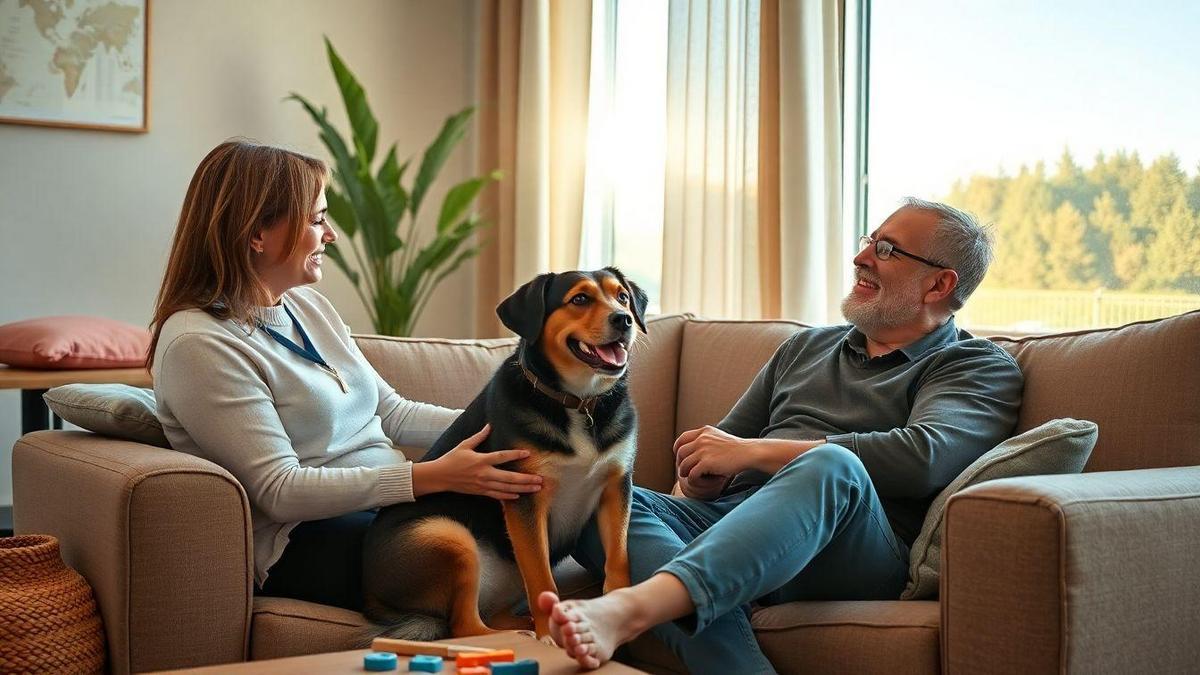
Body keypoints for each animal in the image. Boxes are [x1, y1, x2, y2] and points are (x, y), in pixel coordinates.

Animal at [362, 265, 648, 638]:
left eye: (623, 297)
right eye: (580, 299)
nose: (624, 319)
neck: (577, 402)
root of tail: (368, 595)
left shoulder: (616, 487)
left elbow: (618, 559)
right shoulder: (526, 500)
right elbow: (542, 580)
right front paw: (550, 635)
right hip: (446, 535)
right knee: (464, 626)